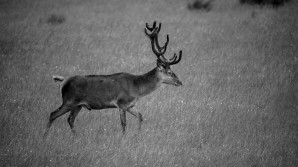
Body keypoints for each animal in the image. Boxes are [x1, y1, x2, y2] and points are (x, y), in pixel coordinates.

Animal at [43, 21, 183, 138]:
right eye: (169, 72)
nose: (180, 82)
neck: (137, 88)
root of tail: (63, 81)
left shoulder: (131, 105)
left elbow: (140, 116)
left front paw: (138, 135)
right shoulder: (121, 103)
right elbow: (124, 123)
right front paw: (123, 138)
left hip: (78, 105)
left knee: (70, 119)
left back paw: (76, 137)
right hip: (69, 101)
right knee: (53, 114)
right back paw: (45, 137)